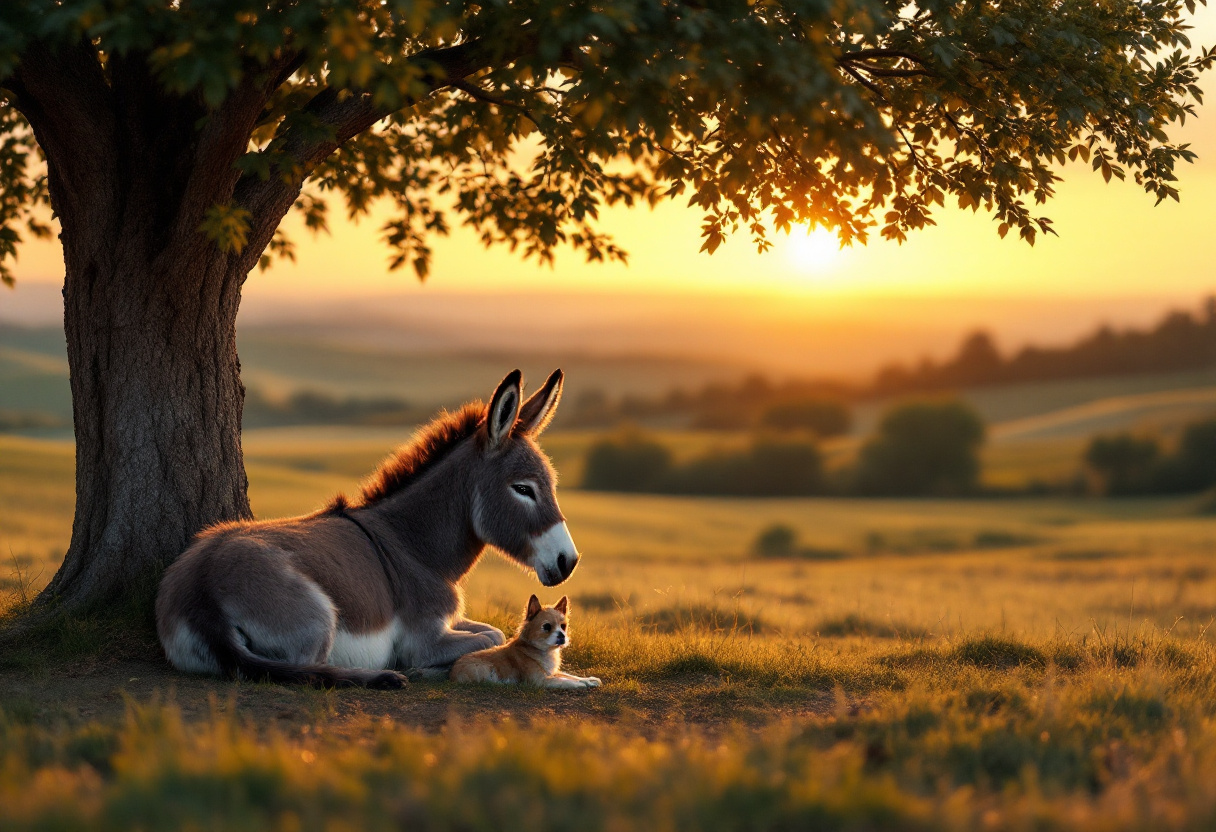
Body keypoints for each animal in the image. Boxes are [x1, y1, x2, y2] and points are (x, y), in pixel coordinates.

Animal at [449, 598, 600, 690]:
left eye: (563, 626)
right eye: (547, 627)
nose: (562, 636)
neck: (542, 650)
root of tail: (453, 672)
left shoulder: (551, 672)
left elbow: (568, 675)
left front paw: (589, 680)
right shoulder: (541, 680)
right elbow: (565, 680)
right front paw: (580, 683)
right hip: (483, 668)